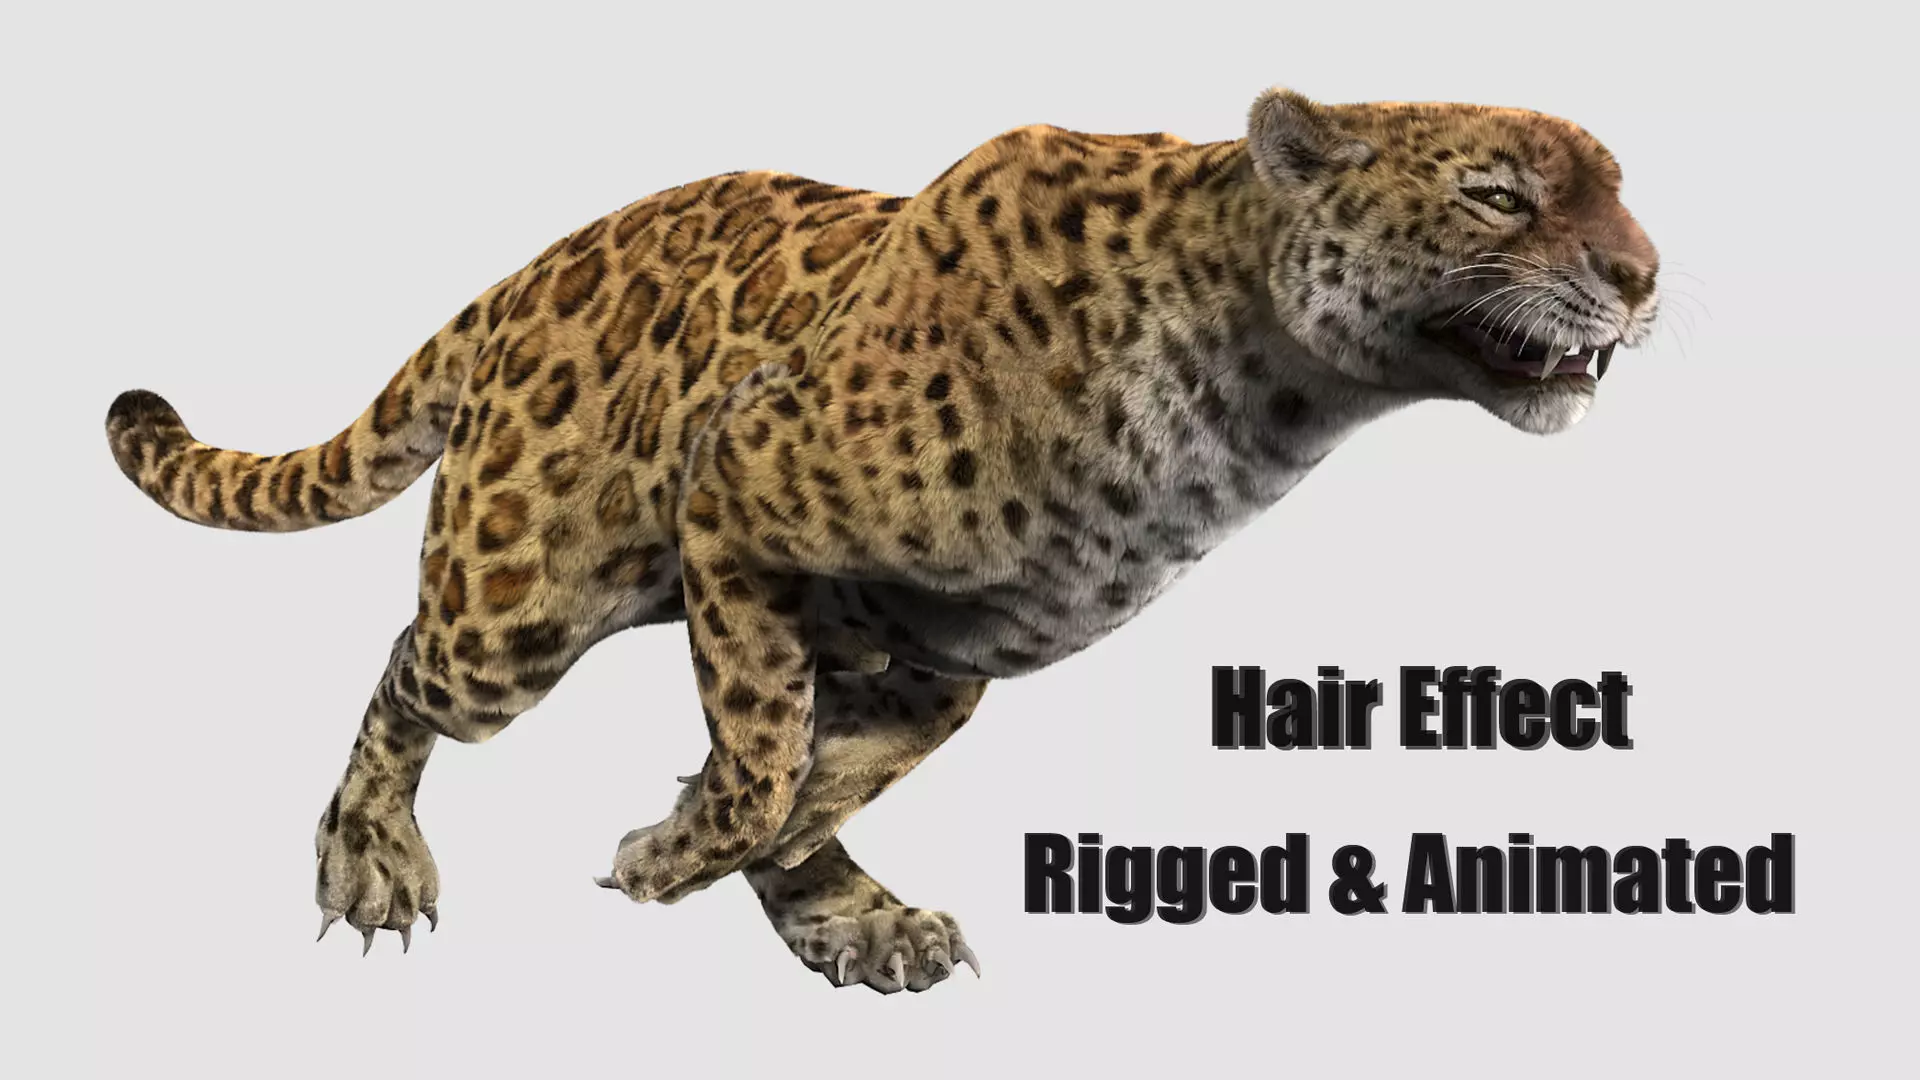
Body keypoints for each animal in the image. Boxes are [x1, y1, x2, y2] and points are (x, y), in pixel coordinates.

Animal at [104, 86, 1660, 993]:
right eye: (1498, 195)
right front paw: (671, 852)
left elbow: (845, 757)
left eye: (1619, 189)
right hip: (516, 600)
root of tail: (532, 271)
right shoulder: (736, 482)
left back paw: (856, 916)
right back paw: (372, 855)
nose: (1646, 275)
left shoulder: (949, 648)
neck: (1247, 394)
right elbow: (760, 756)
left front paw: (796, 860)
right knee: (407, 668)